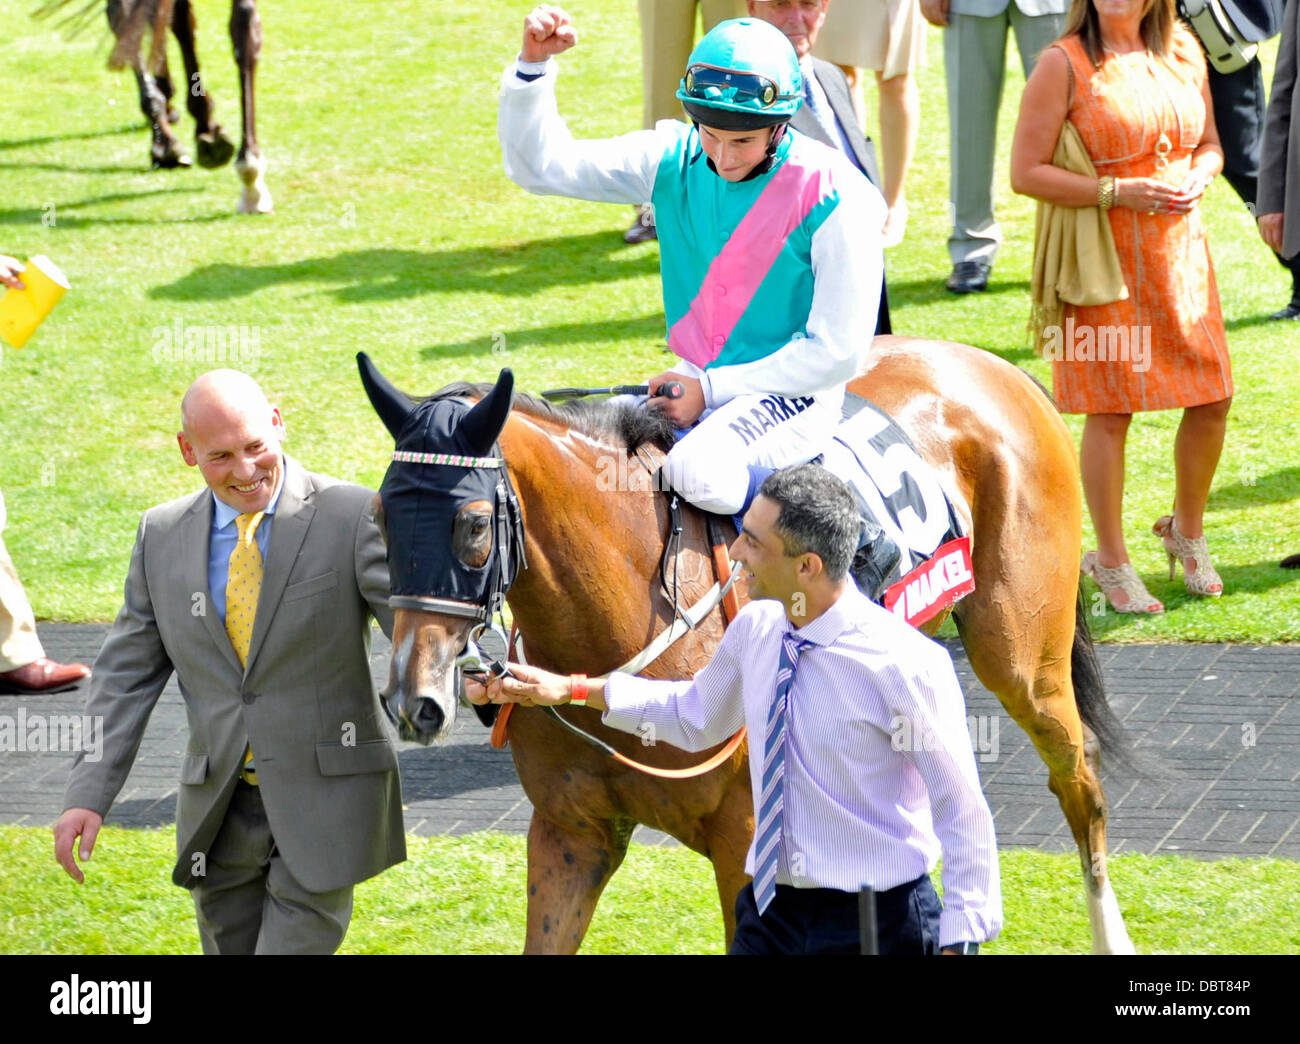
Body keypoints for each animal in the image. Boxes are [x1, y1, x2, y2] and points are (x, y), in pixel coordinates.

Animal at [356, 338, 1138, 962]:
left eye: (472, 524)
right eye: (381, 518)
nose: (412, 699)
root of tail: (996, 366)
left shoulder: (747, 846)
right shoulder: (570, 836)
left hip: (1021, 655)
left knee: (1077, 780)